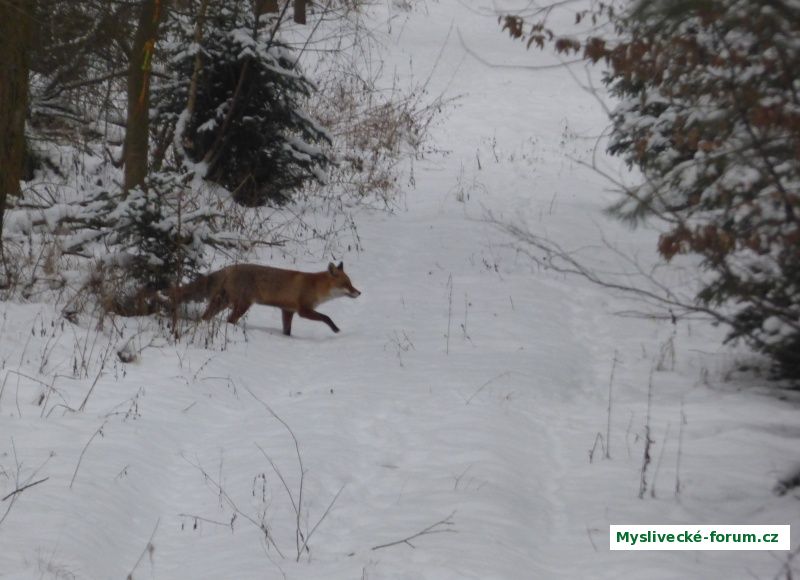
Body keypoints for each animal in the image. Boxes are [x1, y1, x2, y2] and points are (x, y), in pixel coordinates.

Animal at [169, 262, 361, 335]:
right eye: (347, 284)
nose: (359, 292)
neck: (315, 286)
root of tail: (229, 268)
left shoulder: (288, 310)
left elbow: (287, 330)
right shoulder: (303, 310)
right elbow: (326, 317)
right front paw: (335, 329)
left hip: (222, 302)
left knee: (206, 317)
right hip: (242, 304)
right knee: (230, 320)